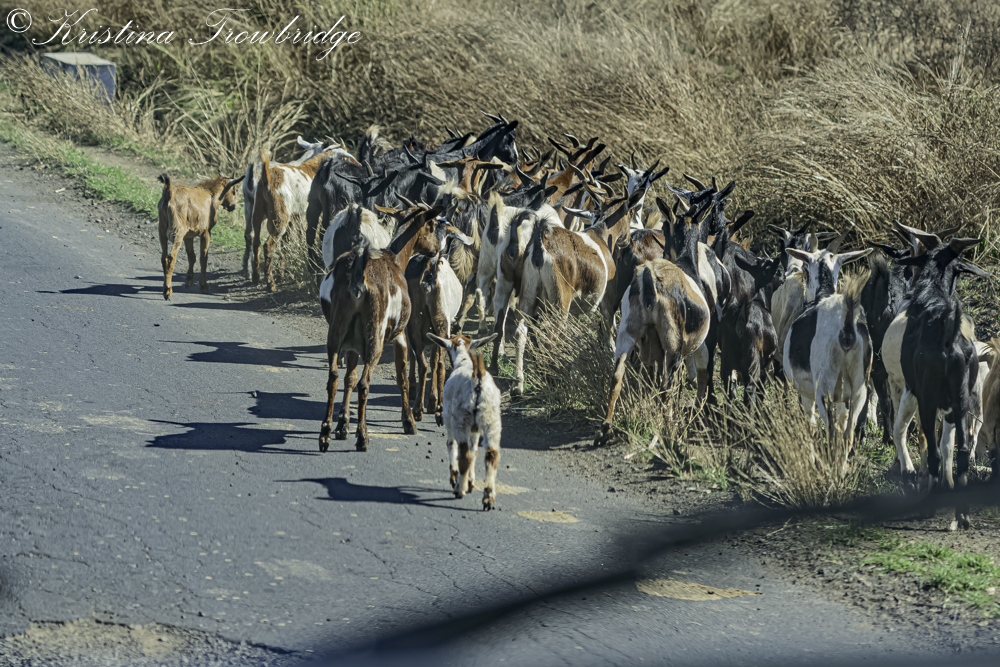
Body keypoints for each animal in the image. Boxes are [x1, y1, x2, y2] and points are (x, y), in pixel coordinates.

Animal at [427, 333, 503, 509]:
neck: (465, 362)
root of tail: (477, 379)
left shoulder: (449, 420)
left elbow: (451, 445)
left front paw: (456, 478)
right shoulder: (475, 429)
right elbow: (474, 450)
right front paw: (471, 482)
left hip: (460, 419)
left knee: (465, 454)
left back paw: (459, 489)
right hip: (492, 420)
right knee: (491, 455)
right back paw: (488, 497)